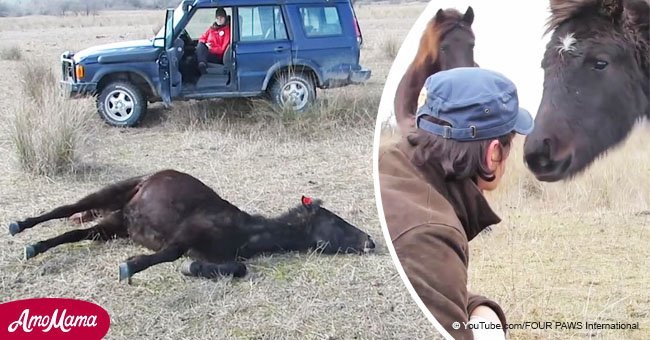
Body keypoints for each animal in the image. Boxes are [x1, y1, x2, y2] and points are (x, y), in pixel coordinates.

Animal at [8, 169, 374, 282]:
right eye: (335, 221)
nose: (370, 242)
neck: (244, 231)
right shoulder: (184, 236)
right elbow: (169, 255)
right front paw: (130, 267)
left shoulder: (213, 253)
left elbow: (237, 268)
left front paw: (193, 270)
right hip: (111, 197)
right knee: (67, 209)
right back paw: (19, 227)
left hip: (116, 224)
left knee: (76, 232)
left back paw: (34, 248)